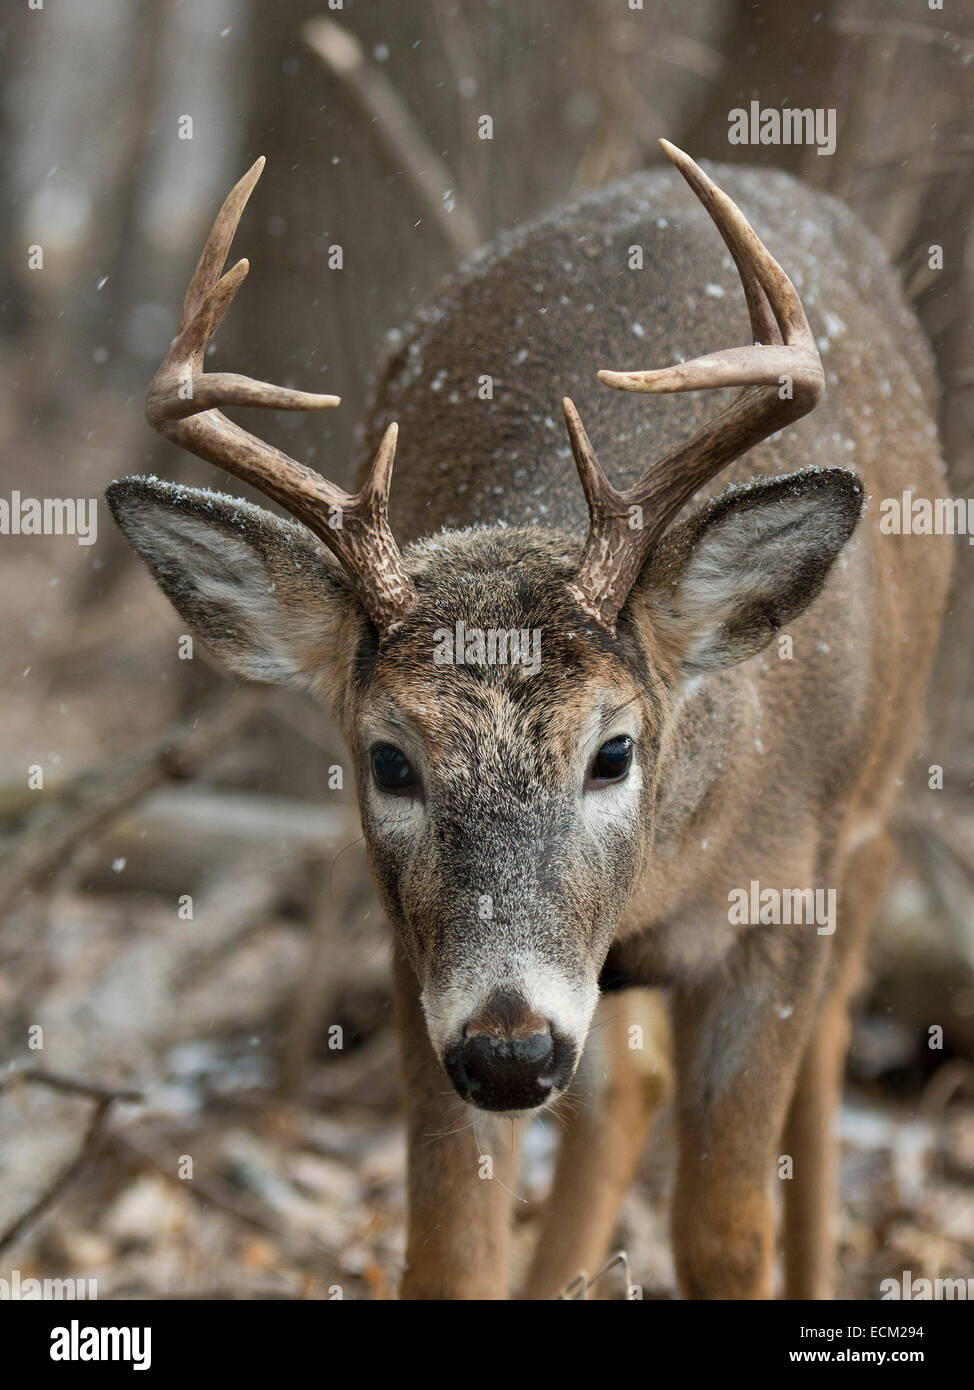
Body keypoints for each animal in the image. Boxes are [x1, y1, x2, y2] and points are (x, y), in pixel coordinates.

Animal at [108, 143, 950, 1301]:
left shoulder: (788, 897)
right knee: (624, 1093)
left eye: (613, 750)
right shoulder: (421, 956)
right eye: (389, 761)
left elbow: (726, 1235)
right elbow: (451, 1251)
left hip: (873, 807)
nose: (510, 1050)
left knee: (826, 1051)